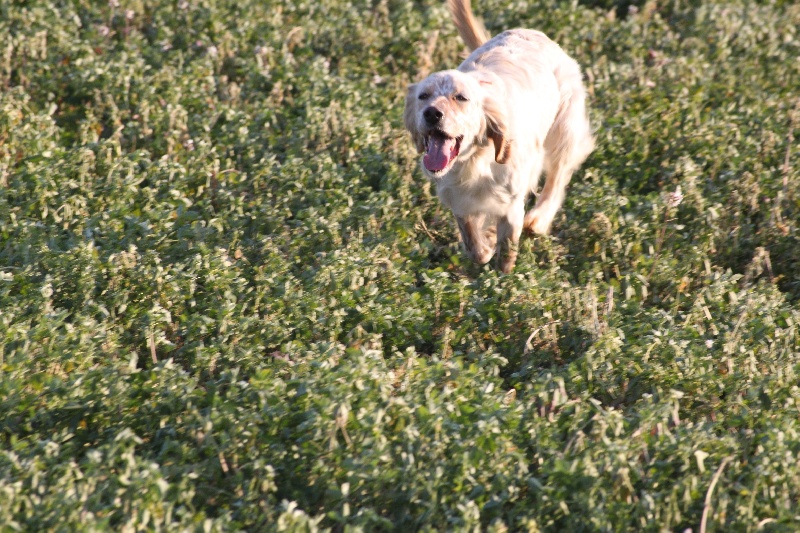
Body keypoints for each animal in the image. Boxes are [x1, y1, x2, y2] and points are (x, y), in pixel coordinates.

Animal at [406, 0, 592, 272]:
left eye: (461, 97)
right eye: (423, 96)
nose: (432, 113)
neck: (474, 161)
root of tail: (533, 33)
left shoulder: (511, 202)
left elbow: (507, 252)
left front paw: (503, 276)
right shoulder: (459, 200)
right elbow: (474, 244)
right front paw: (487, 243)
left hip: (564, 128)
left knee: (558, 177)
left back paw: (538, 219)